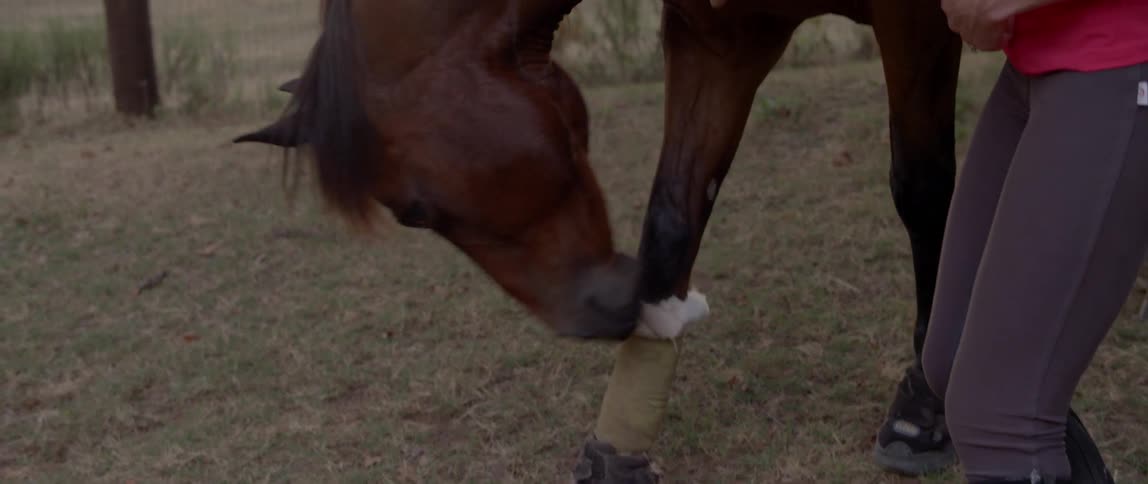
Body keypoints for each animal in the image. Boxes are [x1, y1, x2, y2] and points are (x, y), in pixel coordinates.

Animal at [236, 0, 962, 481]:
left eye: (416, 209)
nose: (594, 316)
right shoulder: (723, 33)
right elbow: (673, 211)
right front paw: (621, 444)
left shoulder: (918, 19)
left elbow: (925, 190)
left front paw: (924, 408)